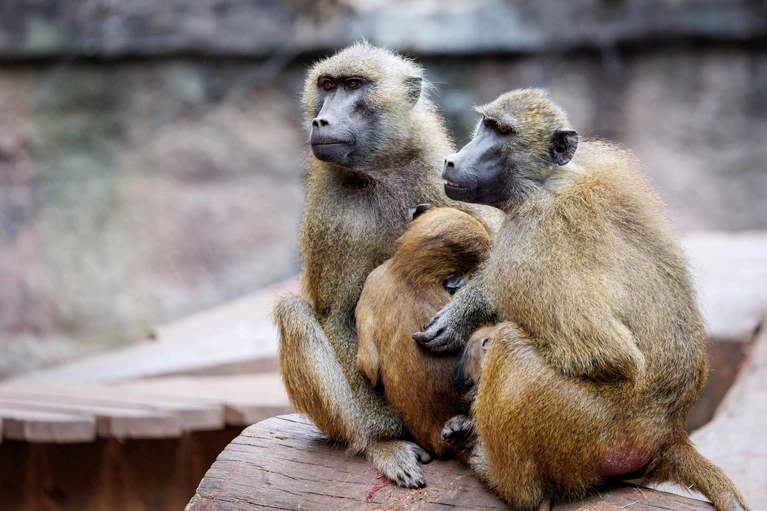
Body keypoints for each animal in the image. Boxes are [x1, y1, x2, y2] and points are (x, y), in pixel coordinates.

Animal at [412, 89, 751, 511]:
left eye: (503, 132)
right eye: (486, 125)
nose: (452, 160)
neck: (545, 183)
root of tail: (668, 434)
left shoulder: (530, 247)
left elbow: (608, 355)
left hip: (592, 431)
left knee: (508, 345)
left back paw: (499, 476)